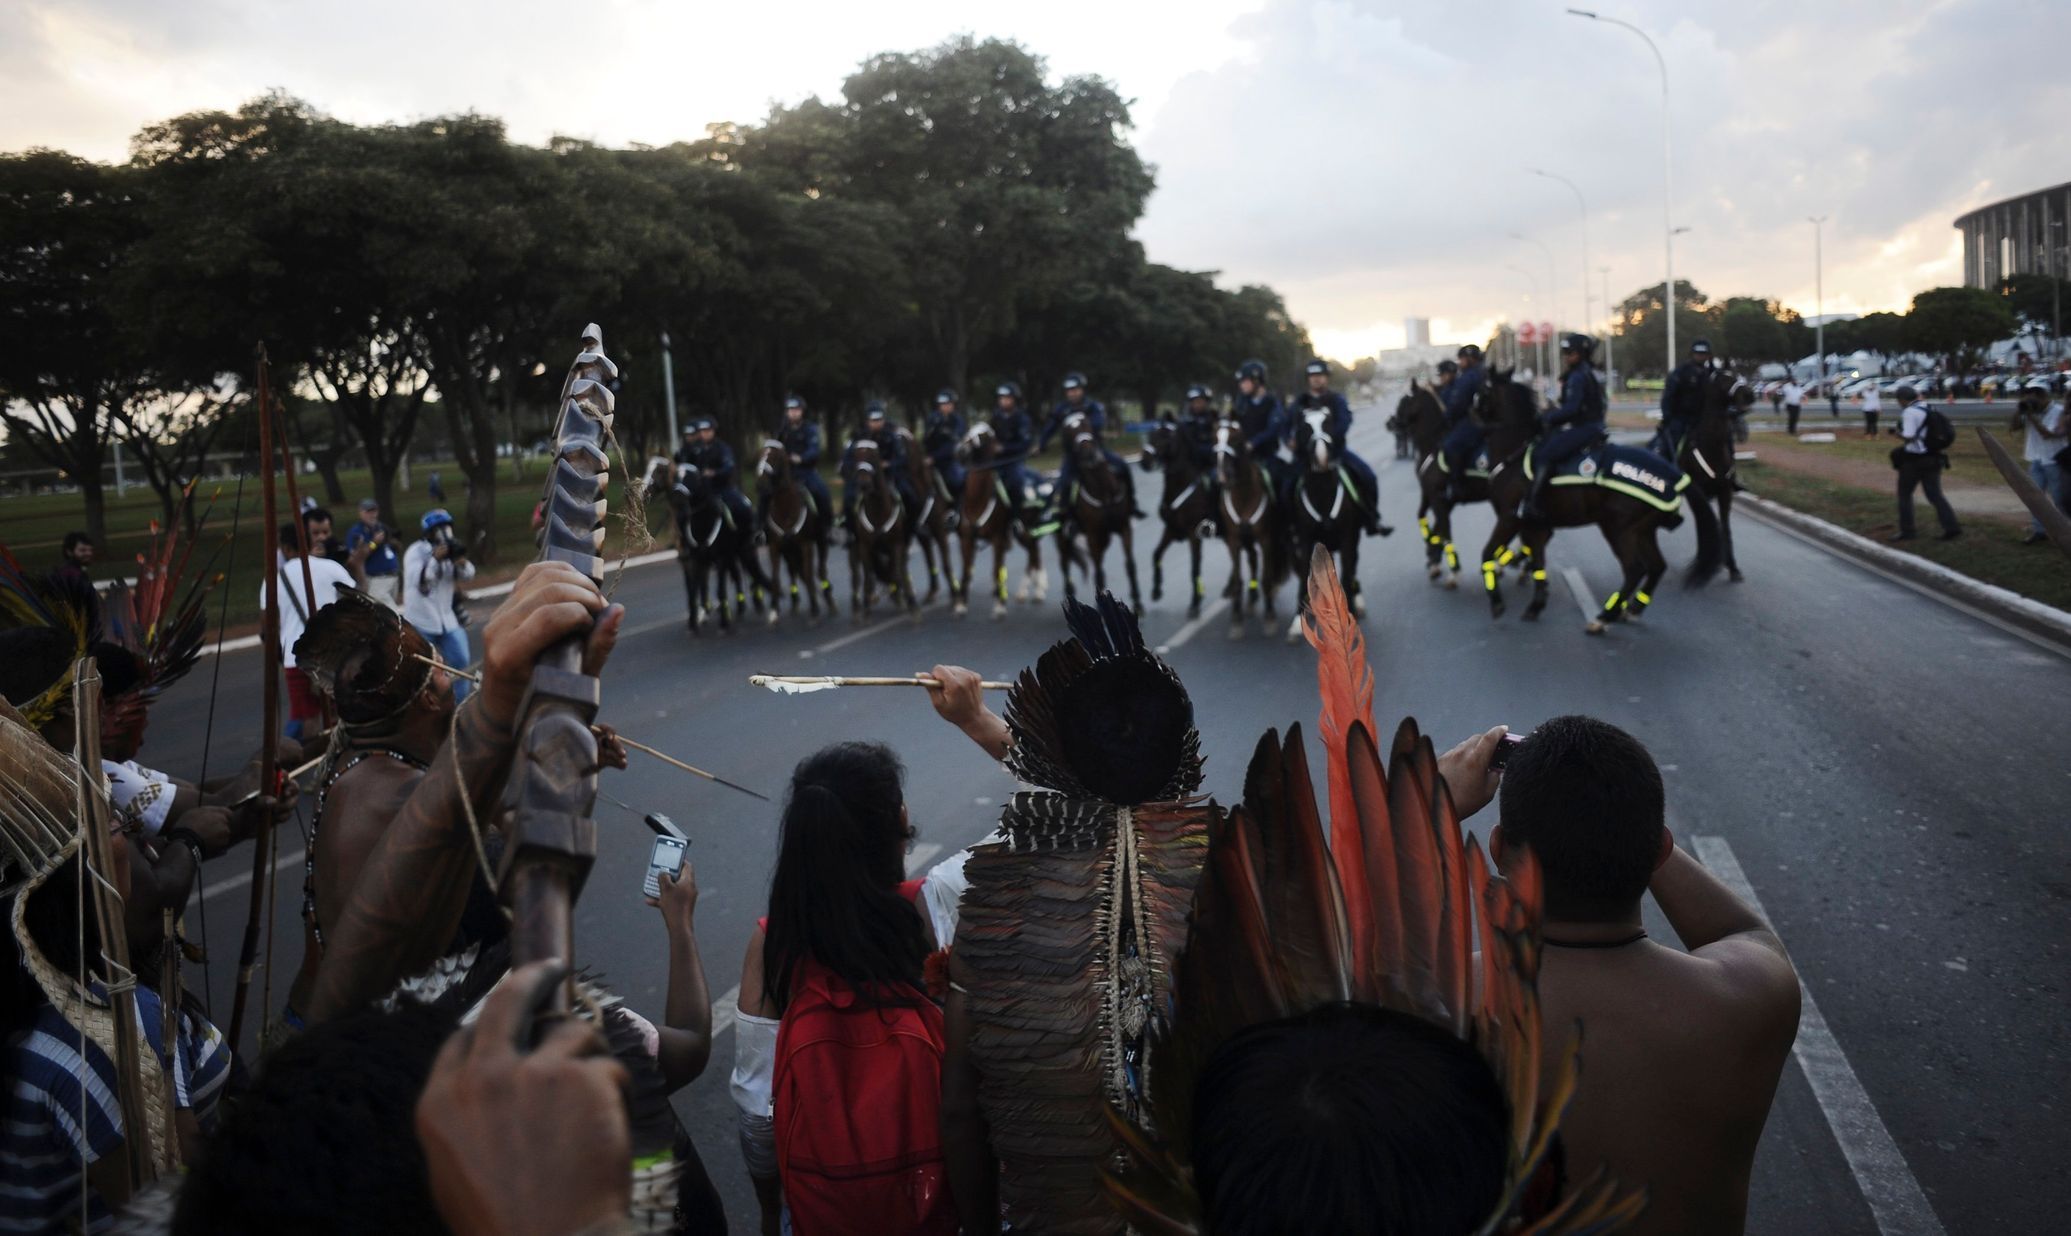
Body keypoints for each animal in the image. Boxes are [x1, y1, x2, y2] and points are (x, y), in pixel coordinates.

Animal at [753, 438, 832, 621]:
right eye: (759, 455)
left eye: (774, 457)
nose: (760, 484)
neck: (785, 507)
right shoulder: (774, 547)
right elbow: (775, 577)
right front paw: (774, 611)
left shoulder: (806, 545)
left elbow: (809, 574)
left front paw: (815, 609)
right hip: (788, 551)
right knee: (793, 571)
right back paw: (795, 602)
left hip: (820, 541)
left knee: (820, 570)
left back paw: (829, 600)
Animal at [1143, 420, 1217, 616]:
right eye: (1150, 435)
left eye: (1165, 437)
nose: (1145, 462)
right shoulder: (1170, 529)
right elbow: (1156, 554)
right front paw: (1156, 590)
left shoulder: (1194, 534)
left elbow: (1194, 567)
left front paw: (1195, 602)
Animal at [1209, 422, 1284, 641]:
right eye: (1214, 440)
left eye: (1235, 441)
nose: (1222, 476)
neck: (1243, 494)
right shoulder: (1234, 541)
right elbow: (1237, 581)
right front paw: (1236, 620)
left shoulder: (1265, 539)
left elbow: (1266, 578)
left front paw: (1270, 618)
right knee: (1251, 559)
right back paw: (1250, 601)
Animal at [1482, 368, 1723, 629]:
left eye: (1481, 388)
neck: (1515, 455)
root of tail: (1674, 473)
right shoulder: (1534, 526)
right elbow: (1537, 562)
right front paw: (1535, 604)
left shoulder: (1509, 519)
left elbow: (1488, 553)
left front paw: (1497, 602)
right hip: (1643, 530)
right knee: (1657, 566)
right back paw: (1633, 608)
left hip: (1617, 529)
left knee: (1635, 569)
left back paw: (1605, 616)